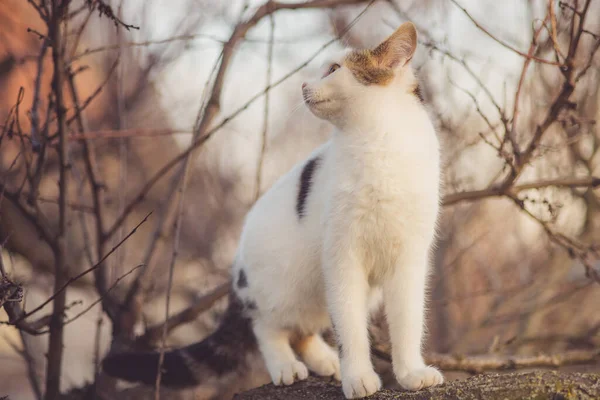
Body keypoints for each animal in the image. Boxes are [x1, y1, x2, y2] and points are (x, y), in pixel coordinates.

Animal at [102, 21, 440, 400]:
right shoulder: (343, 256)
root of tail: (238, 269)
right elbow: (350, 327)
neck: (378, 142)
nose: (304, 85)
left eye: (334, 69)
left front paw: (410, 372)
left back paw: (326, 361)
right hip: (277, 289)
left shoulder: (409, 261)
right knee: (266, 326)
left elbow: (408, 322)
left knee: (304, 329)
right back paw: (286, 365)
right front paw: (358, 377)